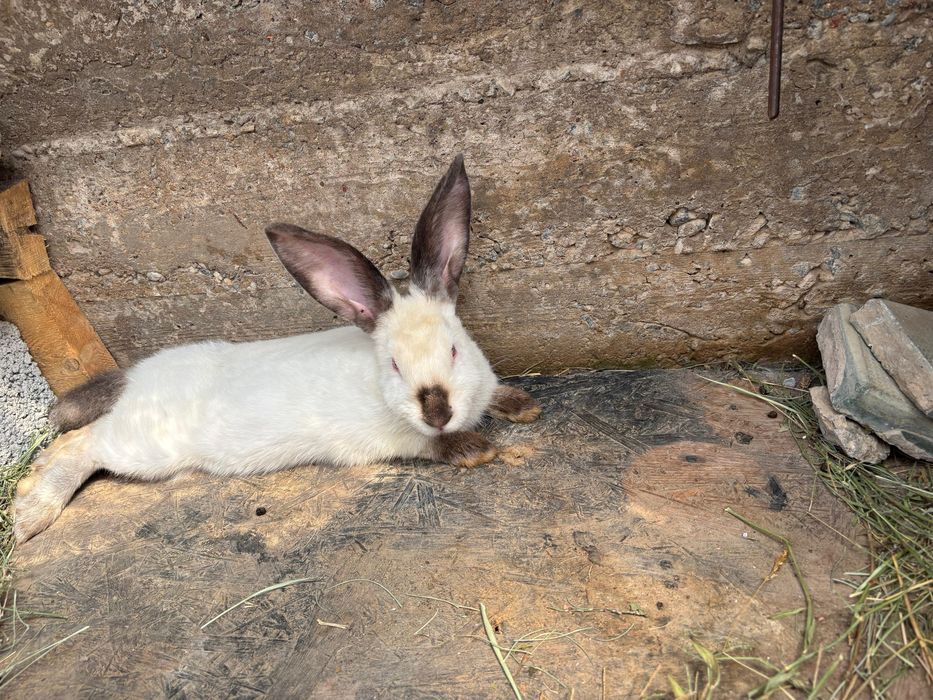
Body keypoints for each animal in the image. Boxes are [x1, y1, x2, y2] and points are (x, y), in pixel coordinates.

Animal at [13, 155, 541, 543]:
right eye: (394, 365)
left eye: (454, 350)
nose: (437, 412)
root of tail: (135, 378)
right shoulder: (385, 440)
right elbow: (427, 446)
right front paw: (474, 450)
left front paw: (523, 405)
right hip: (143, 448)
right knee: (83, 444)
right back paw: (29, 512)